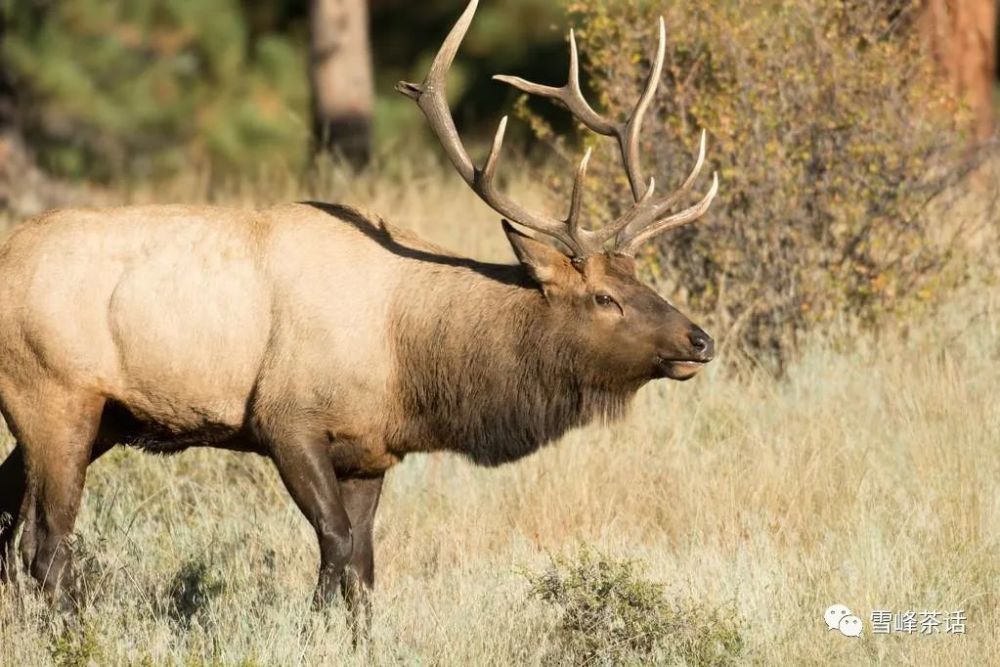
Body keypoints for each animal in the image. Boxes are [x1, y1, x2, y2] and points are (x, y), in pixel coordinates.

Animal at [0, 0, 720, 628]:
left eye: (639, 278)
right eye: (604, 297)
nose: (700, 339)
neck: (410, 360)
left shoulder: (370, 451)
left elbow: (365, 567)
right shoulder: (285, 419)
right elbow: (338, 547)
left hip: (99, 418)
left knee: (11, 526)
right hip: (55, 394)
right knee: (47, 543)